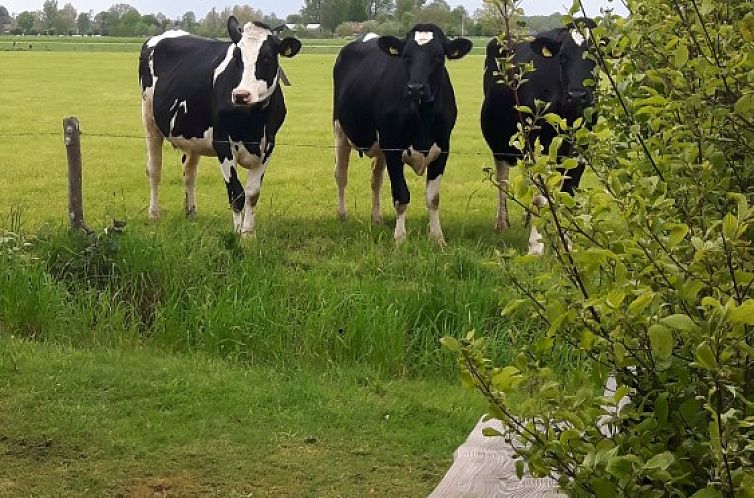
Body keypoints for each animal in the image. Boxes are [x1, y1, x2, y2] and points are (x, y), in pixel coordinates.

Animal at [138, 15, 300, 233]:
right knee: (154, 169)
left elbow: (252, 194)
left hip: (193, 134)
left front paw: (248, 234)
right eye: (237, 57)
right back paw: (154, 214)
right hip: (150, 120)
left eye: (266, 58)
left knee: (189, 172)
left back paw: (191, 212)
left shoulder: (268, 146)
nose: (241, 95)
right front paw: (237, 234)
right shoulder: (223, 144)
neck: (253, 123)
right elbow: (236, 193)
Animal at [330, 24, 470, 244]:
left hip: (379, 147)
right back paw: (343, 215)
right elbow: (401, 196)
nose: (416, 88)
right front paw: (400, 238)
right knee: (341, 175)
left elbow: (433, 198)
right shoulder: (393, 149)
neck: (423, 118)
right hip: (340, 131)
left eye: (439, 57)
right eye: (406, 56)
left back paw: (377, 218)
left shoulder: (443, 149)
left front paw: (437, 238)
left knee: (375, 180)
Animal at [478, 18, 596, 255]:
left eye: (594, 55)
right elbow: (540, 195)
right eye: (562, 57)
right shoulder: (533, 144)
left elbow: (568, 193)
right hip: (500, 143)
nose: (578, 95)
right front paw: (535, 246)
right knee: (502, 178)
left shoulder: (580, 149)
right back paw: (502, 223)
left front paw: (567, 243)